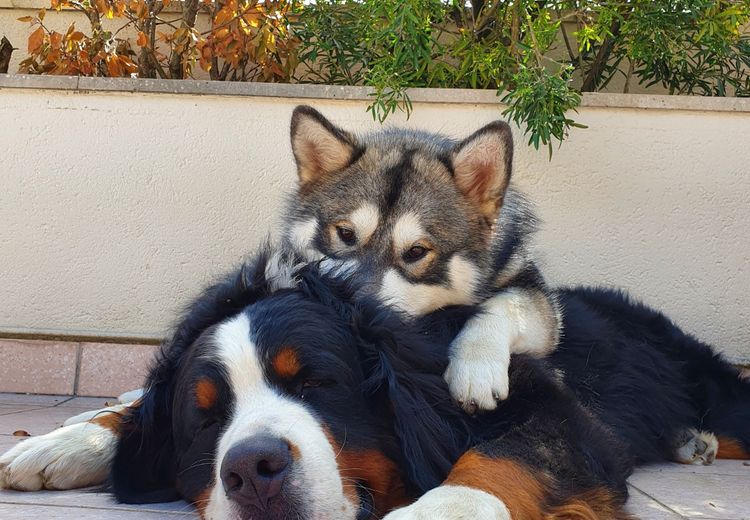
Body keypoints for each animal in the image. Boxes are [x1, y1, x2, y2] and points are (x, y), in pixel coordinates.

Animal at [284, 106, 560, 414]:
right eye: (345, 234)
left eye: (416, 251)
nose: (356, 319)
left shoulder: (536, 293)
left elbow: (506, 303)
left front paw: (476, 368)